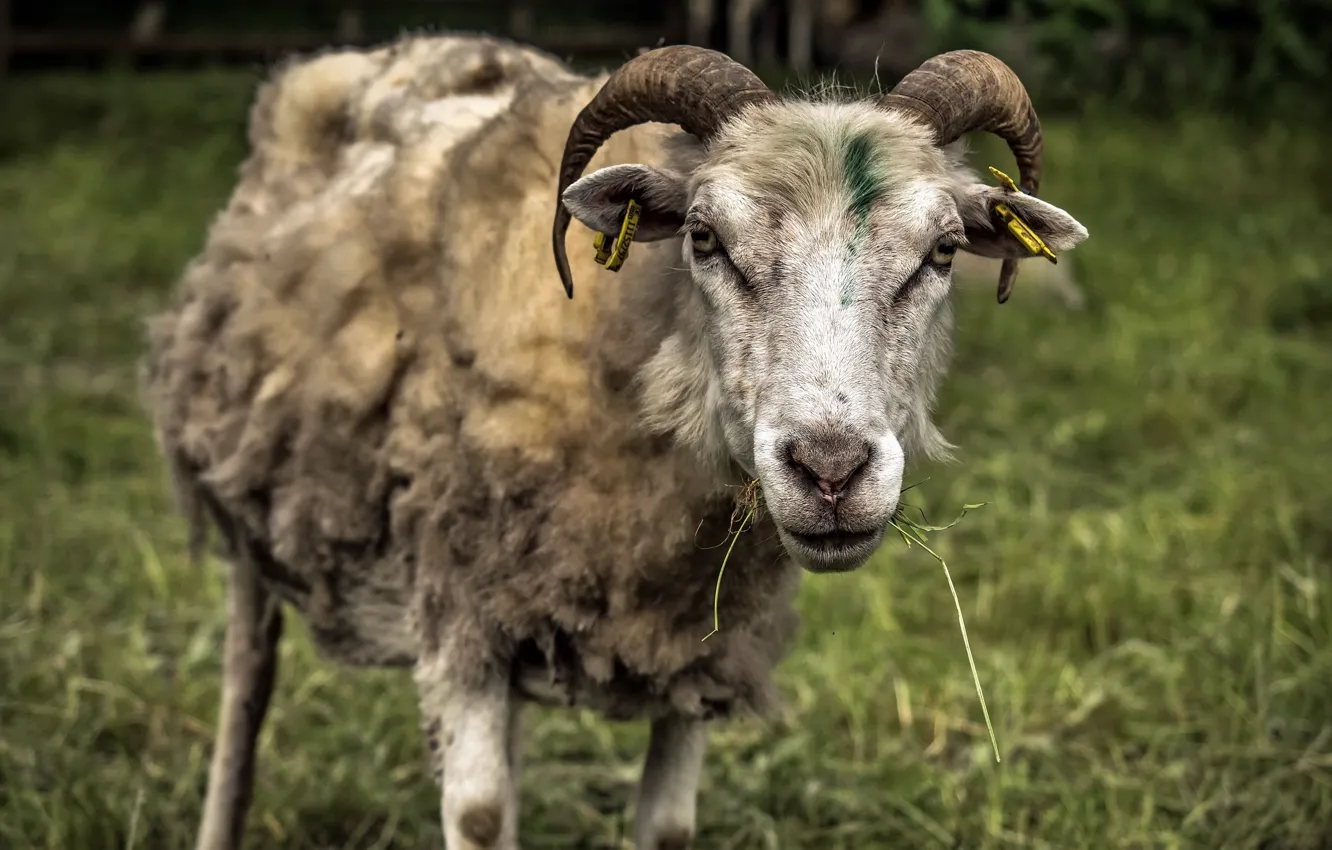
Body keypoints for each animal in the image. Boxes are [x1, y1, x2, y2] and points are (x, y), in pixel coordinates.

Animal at [139, 32, 1089, 850]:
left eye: (945, 250)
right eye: (704, 238)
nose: (830, 469)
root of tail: (381, 52)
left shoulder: (696, 653)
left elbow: (662, 826)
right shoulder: (459, 619)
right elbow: (479, 818)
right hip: (254, 514)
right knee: (246, 684)